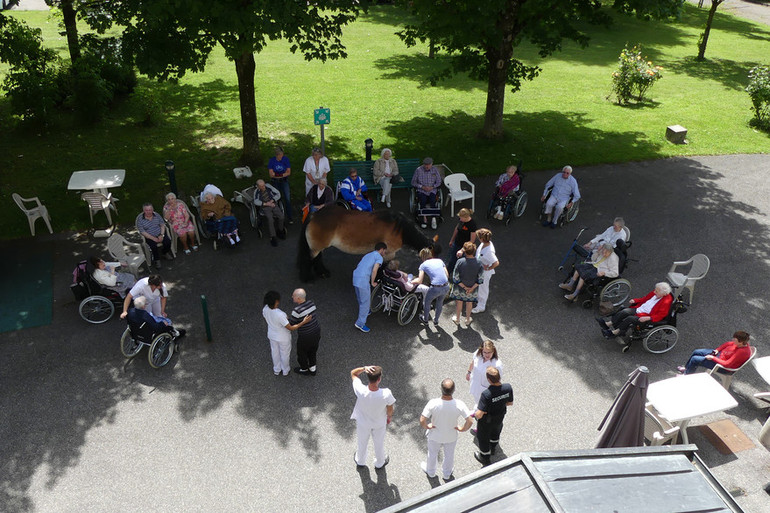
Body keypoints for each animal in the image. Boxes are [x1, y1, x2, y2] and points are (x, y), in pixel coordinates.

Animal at [298, 206, 436, 282]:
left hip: (319, 247)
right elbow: (381, 266)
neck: (400, 228)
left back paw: (323, 273)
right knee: (307, 260)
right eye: (431, 258)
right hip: (316, 248)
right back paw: (308, 278)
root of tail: (315, 215)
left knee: (317, 259)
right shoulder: (388, 253)